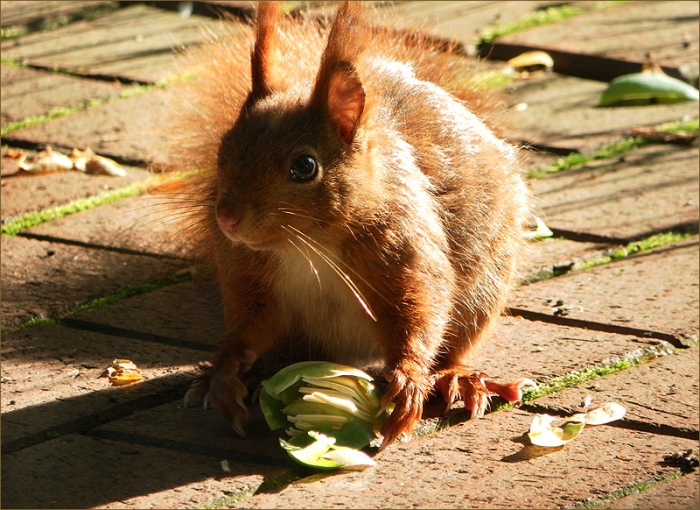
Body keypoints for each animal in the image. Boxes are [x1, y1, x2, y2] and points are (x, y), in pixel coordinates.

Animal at [168, 1, 531, 450]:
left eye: (305, 166)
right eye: (223, 150)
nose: (227, 219)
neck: (308, 247)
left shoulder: (405, 252)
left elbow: (421, 312)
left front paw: (408, 381)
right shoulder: (248, 273)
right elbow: (248, 326)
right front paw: (225, 369)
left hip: (484, 291)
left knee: (455, 344)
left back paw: (455, 378)